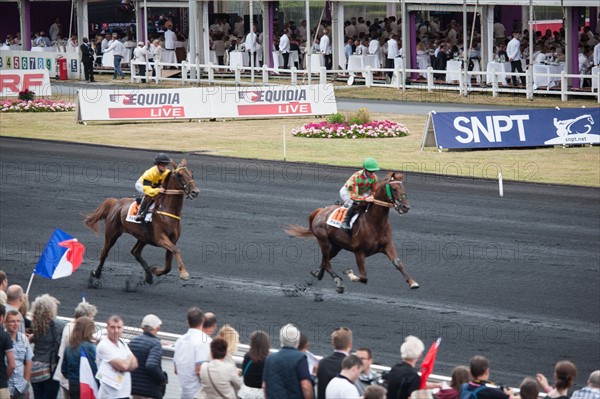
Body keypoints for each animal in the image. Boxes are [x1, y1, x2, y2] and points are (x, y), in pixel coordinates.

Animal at [83, 158, 199, 286]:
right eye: (180, 175)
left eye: (191, 173)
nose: (195, 192)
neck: (166, 210)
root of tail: (116, 203)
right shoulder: (160, 238)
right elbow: (176, 250)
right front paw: (184, 273)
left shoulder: (172, 240)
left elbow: (168, 265)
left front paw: (155, 270)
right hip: (112, 233)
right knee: (104, 252)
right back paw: (96, 273)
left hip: (143, 237)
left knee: (135, 252)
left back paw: (148, 275)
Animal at [284, 172, 418, 294]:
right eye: (394, 189)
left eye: (403, 188)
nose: (405, 207)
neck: (374, 222)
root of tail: (320, 211)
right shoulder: (359, 251)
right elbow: (363, 277)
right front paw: (349, 273)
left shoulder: (387, 245)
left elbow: (397, 263)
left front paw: (413, 282)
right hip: (324, 241)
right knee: (327, 263)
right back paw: (338, 282)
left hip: (336, 246)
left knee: (325, 261)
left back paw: (317, 273)